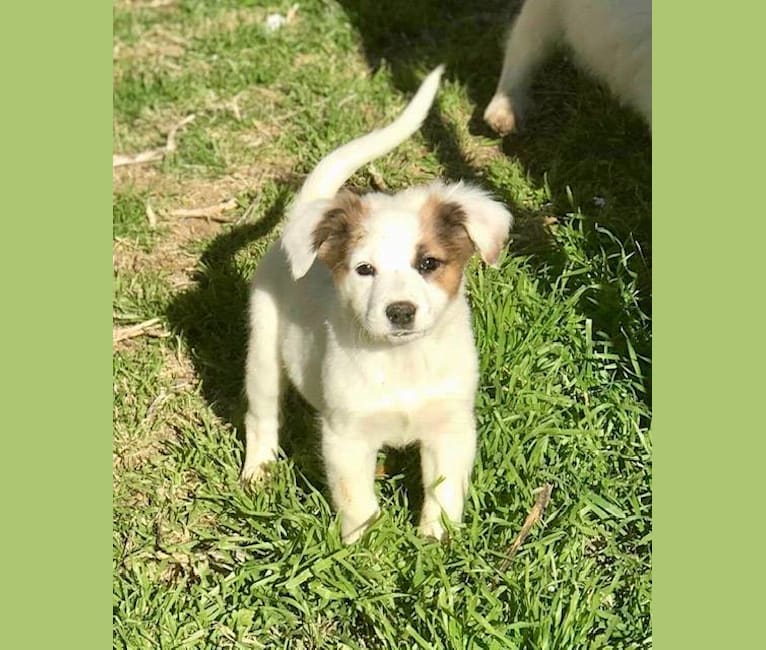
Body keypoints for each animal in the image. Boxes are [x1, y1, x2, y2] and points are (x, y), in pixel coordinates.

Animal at [243, 66, 512, 540]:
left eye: (428, 263)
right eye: (364, 270)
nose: (400, 311)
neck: (403, 363)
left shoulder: (451, 428)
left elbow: (444, 496)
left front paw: (436, 543)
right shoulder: (345, 437)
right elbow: (358, 505)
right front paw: (363, 549)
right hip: (262, 351)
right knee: (260, 416)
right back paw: (257, 471)